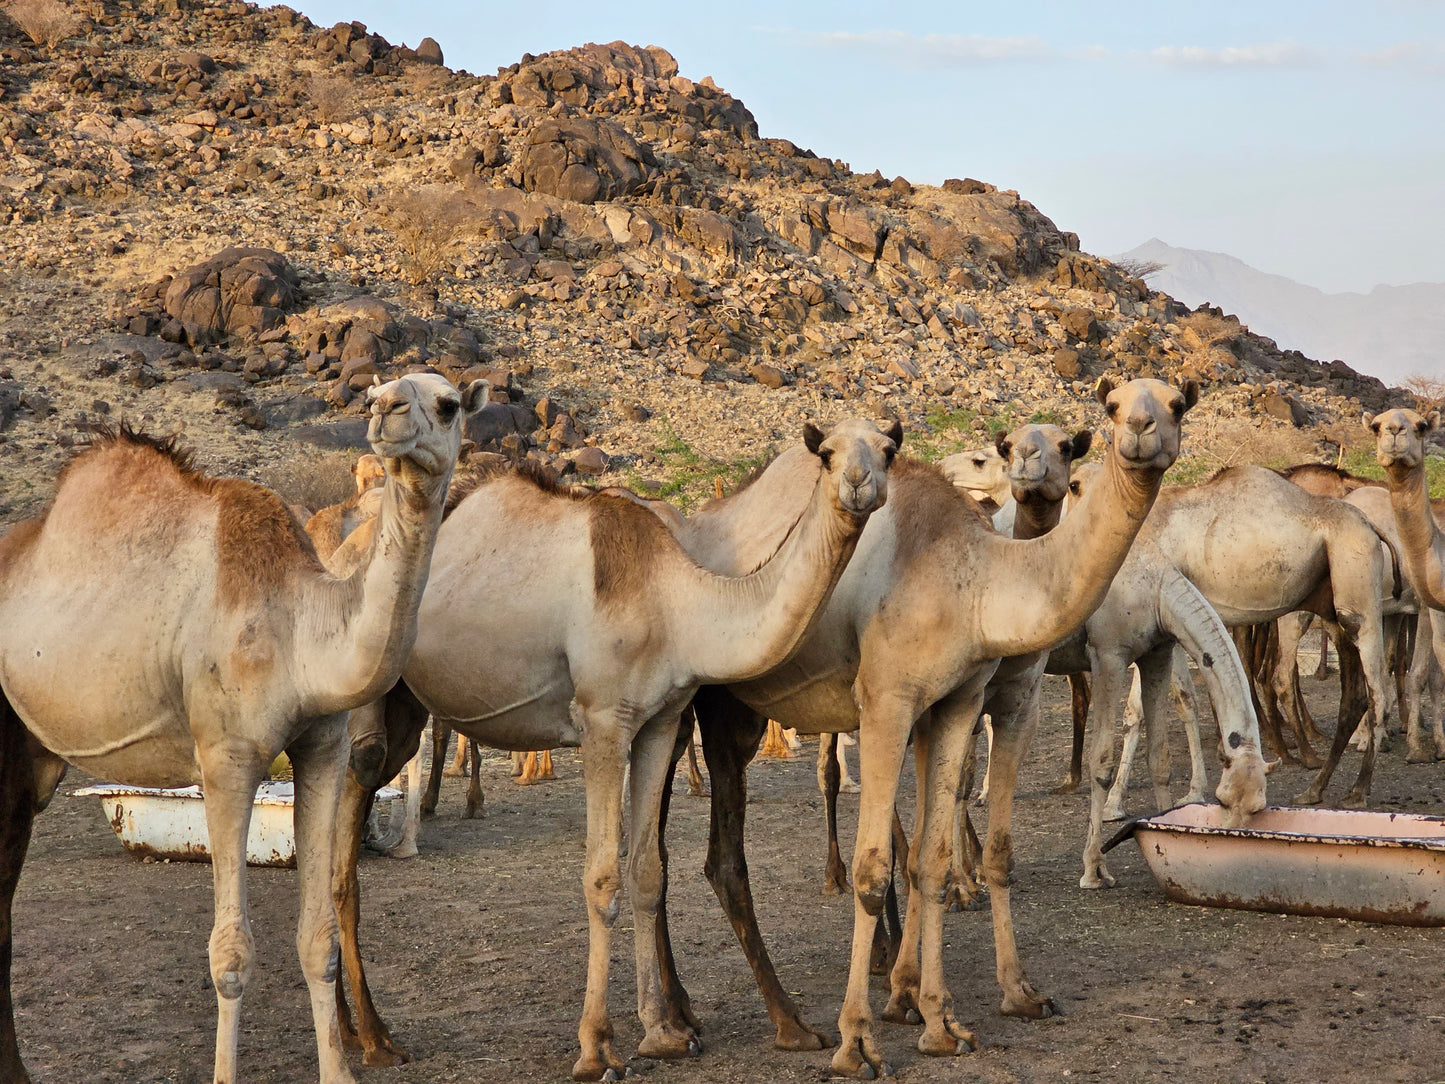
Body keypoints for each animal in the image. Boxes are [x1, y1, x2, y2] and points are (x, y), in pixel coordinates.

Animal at [0, 373, 486, 1084]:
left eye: (448, 404)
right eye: (376, 396)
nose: (387, 413)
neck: (302, 629)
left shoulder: (324, 748)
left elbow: (317, 938)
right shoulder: (226, 758)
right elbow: (230, 953)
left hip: (31, 755)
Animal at [331, 417, 902, 1079]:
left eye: (888, 450)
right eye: (827, 454)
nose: (860, 483)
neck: (679, 603)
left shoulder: (661, 720)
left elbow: (646, 868)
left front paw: (663, 1032)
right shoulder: (603, 721)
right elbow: (601, 876)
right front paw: (597, 1046)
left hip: (405, 704)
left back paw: (358, 1030)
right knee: (348, 804)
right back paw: (372, 1036)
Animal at [664, 380, 1258, 1076]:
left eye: (1177, 404)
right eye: (1113, 409)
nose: (1139, 430)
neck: (973, 577)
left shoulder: (956, 701)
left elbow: (932, 858)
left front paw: (948, 1019)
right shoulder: (889, 700)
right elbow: (875, 868)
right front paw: (858, 1042)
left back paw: (719, 1017)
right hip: (685, 700)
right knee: (667, 852)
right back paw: (711, 1026)